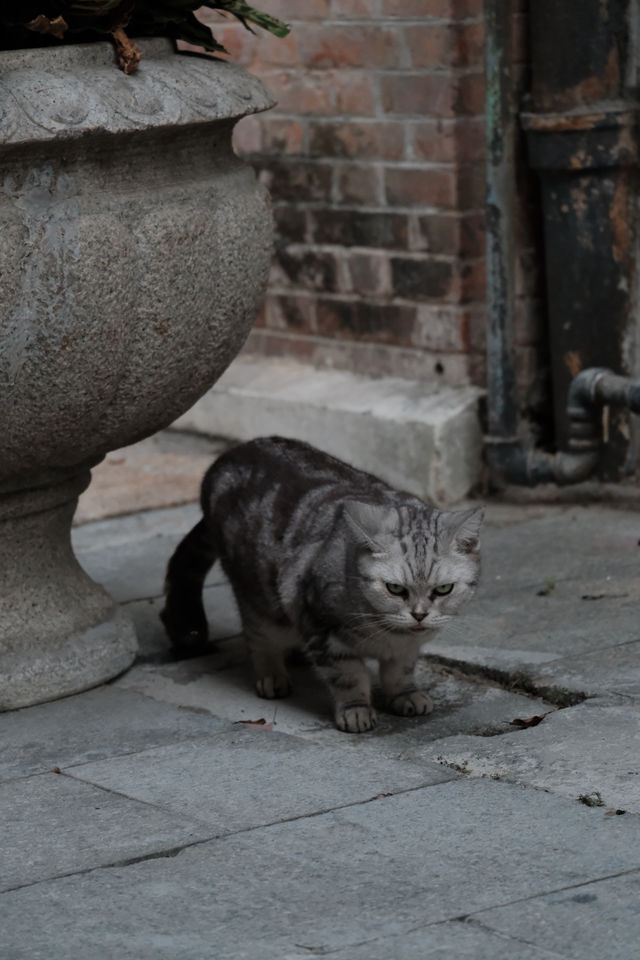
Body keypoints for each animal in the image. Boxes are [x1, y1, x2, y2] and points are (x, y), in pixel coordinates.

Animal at [162, 436, 482, 736]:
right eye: (395, 589)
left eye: (443, 590)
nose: (419, 614)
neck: (389, 634)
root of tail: (228, 455)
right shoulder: (321, 625)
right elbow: (349, 675)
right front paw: (356, 710)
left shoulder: (405, 649)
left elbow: (400, 671)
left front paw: (406, 695)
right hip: (259, 596)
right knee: (257, 635)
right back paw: (272, 675)